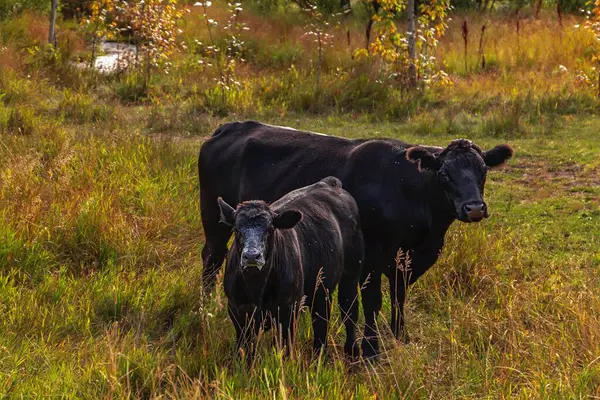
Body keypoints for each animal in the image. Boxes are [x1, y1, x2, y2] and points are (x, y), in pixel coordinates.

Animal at [217, 178, 364, 360]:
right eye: (236, 230)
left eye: (270, 229)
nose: (252, 256)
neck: (256, 288)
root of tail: (330, 183)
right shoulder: (237, 311)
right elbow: (244, 350)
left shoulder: (289, 309)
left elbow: (284, 348)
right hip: (321, 289)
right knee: (321, 320)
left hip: (351, 273)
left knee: (349, 310)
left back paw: (353, 353)